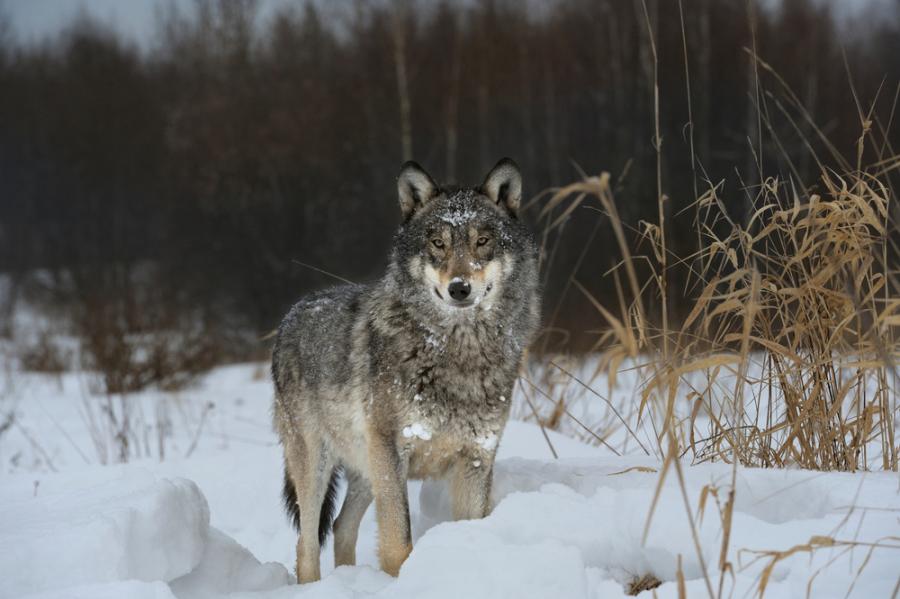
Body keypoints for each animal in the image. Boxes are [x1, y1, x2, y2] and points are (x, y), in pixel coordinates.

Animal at [270, 157, 536, 584]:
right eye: (438, 243)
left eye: (482, 241)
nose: (459, 288)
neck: (457, 352)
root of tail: (292, 314)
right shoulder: (393, 452)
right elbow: (398, 543)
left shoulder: (477, 458)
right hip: (319, 465)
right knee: (307, 543)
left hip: (365, 468)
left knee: (341, 527)